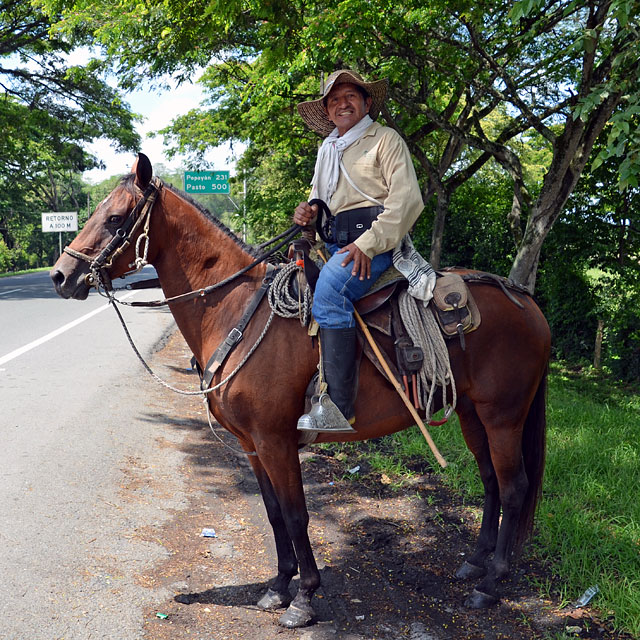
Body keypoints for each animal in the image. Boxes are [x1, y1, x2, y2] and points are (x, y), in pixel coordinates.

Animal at [51, 155, 552, 632]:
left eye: (116, 218)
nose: (60, 275)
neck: (238, 310)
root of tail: (526, 300)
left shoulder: (276, 441)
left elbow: (296, 515)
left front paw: (305, 597)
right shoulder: (252, 446)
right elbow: (274, 514)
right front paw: (277, 586)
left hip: (503, 416)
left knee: (514, 487)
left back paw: (491, 583)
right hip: (472, 414)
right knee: (490, 480)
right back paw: (475, 563)